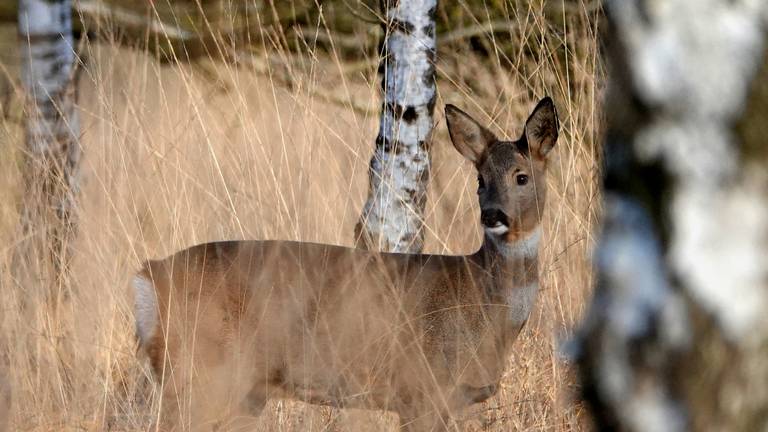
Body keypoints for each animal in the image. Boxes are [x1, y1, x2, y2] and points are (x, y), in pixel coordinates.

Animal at [134, 98, 560, 432]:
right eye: (480, 180)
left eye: (522, 176)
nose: (493, 215)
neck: (485, 304)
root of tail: (148, 274)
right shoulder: (422, 388)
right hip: (201, 370)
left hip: (239, 390)